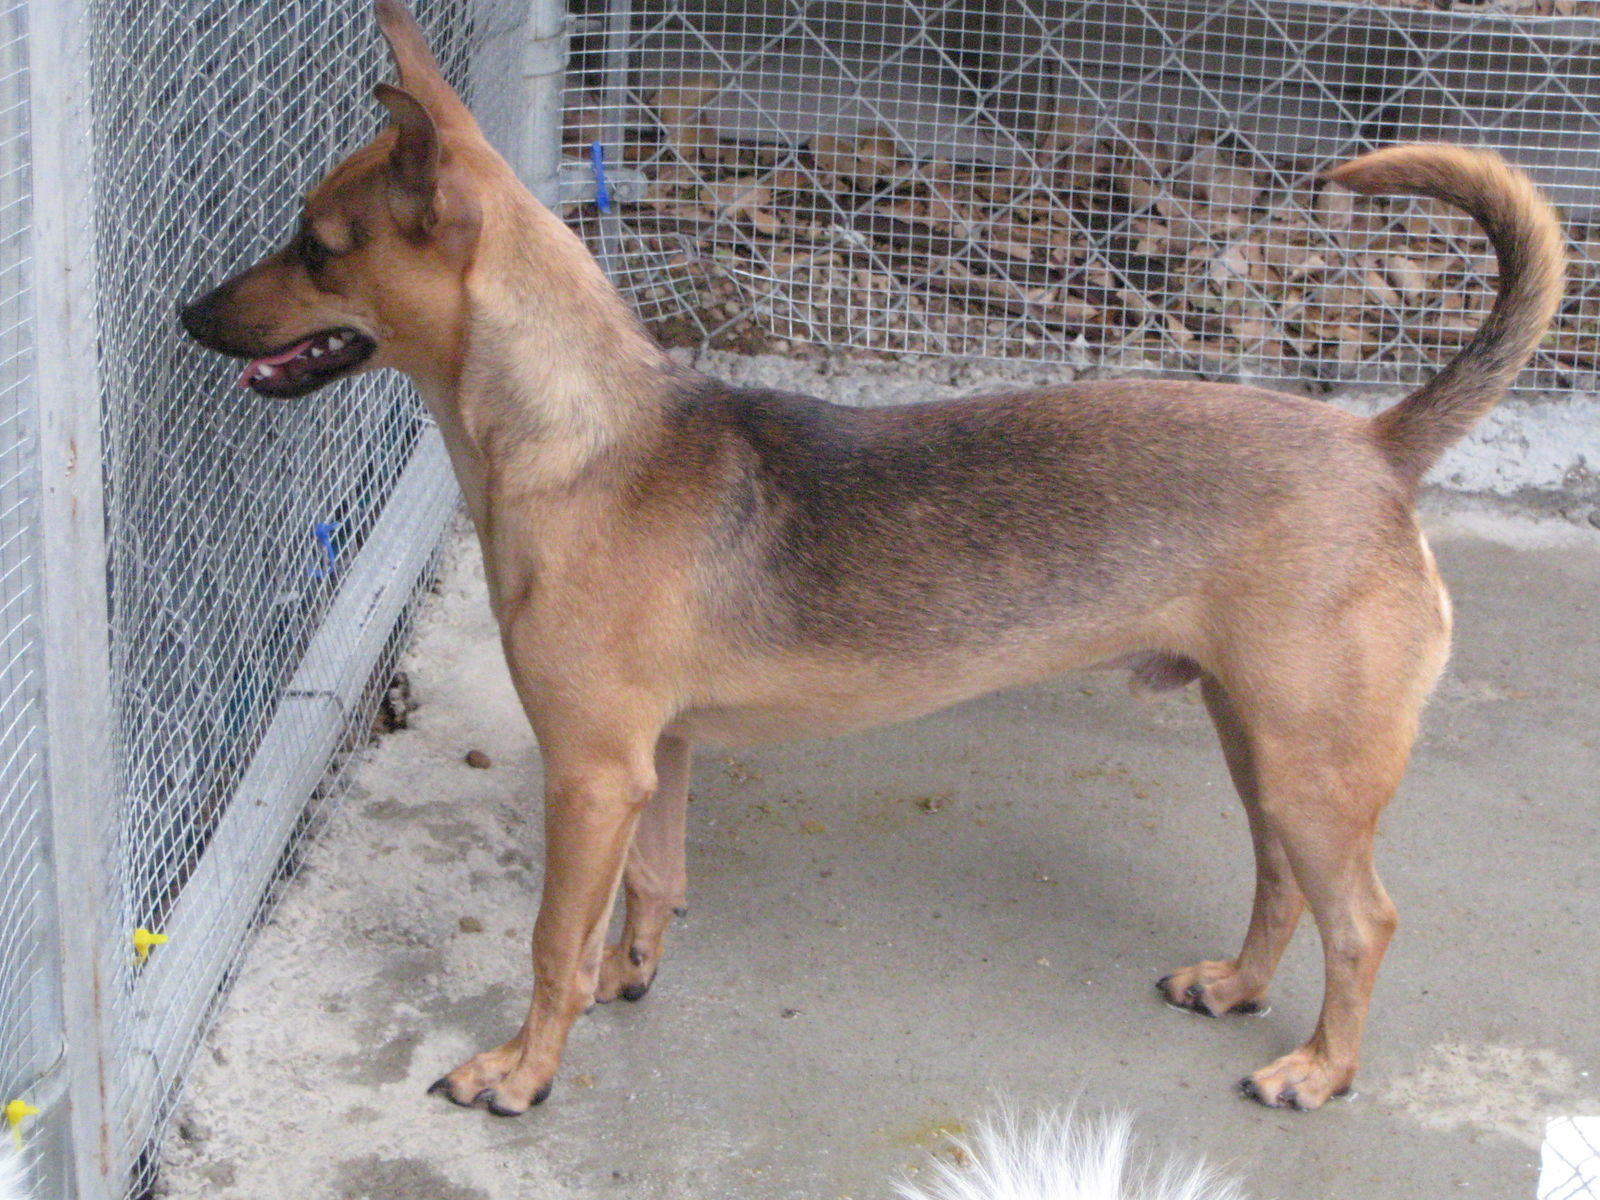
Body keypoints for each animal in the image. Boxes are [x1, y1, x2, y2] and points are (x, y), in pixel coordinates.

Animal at [178, 0, 1561, 1126]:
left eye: (316, 247)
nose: (188, 313)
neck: (581, 434)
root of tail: (1379, 446)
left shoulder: (589, 774)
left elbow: (547, 944)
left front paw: (523, 1072)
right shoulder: (657, 764)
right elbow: (651, 892)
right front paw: (629, 979)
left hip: (1312, 764)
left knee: (1363, 921)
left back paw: (1319, 1070)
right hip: (1262, 745)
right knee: (1283, 888)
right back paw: (1234, 988)